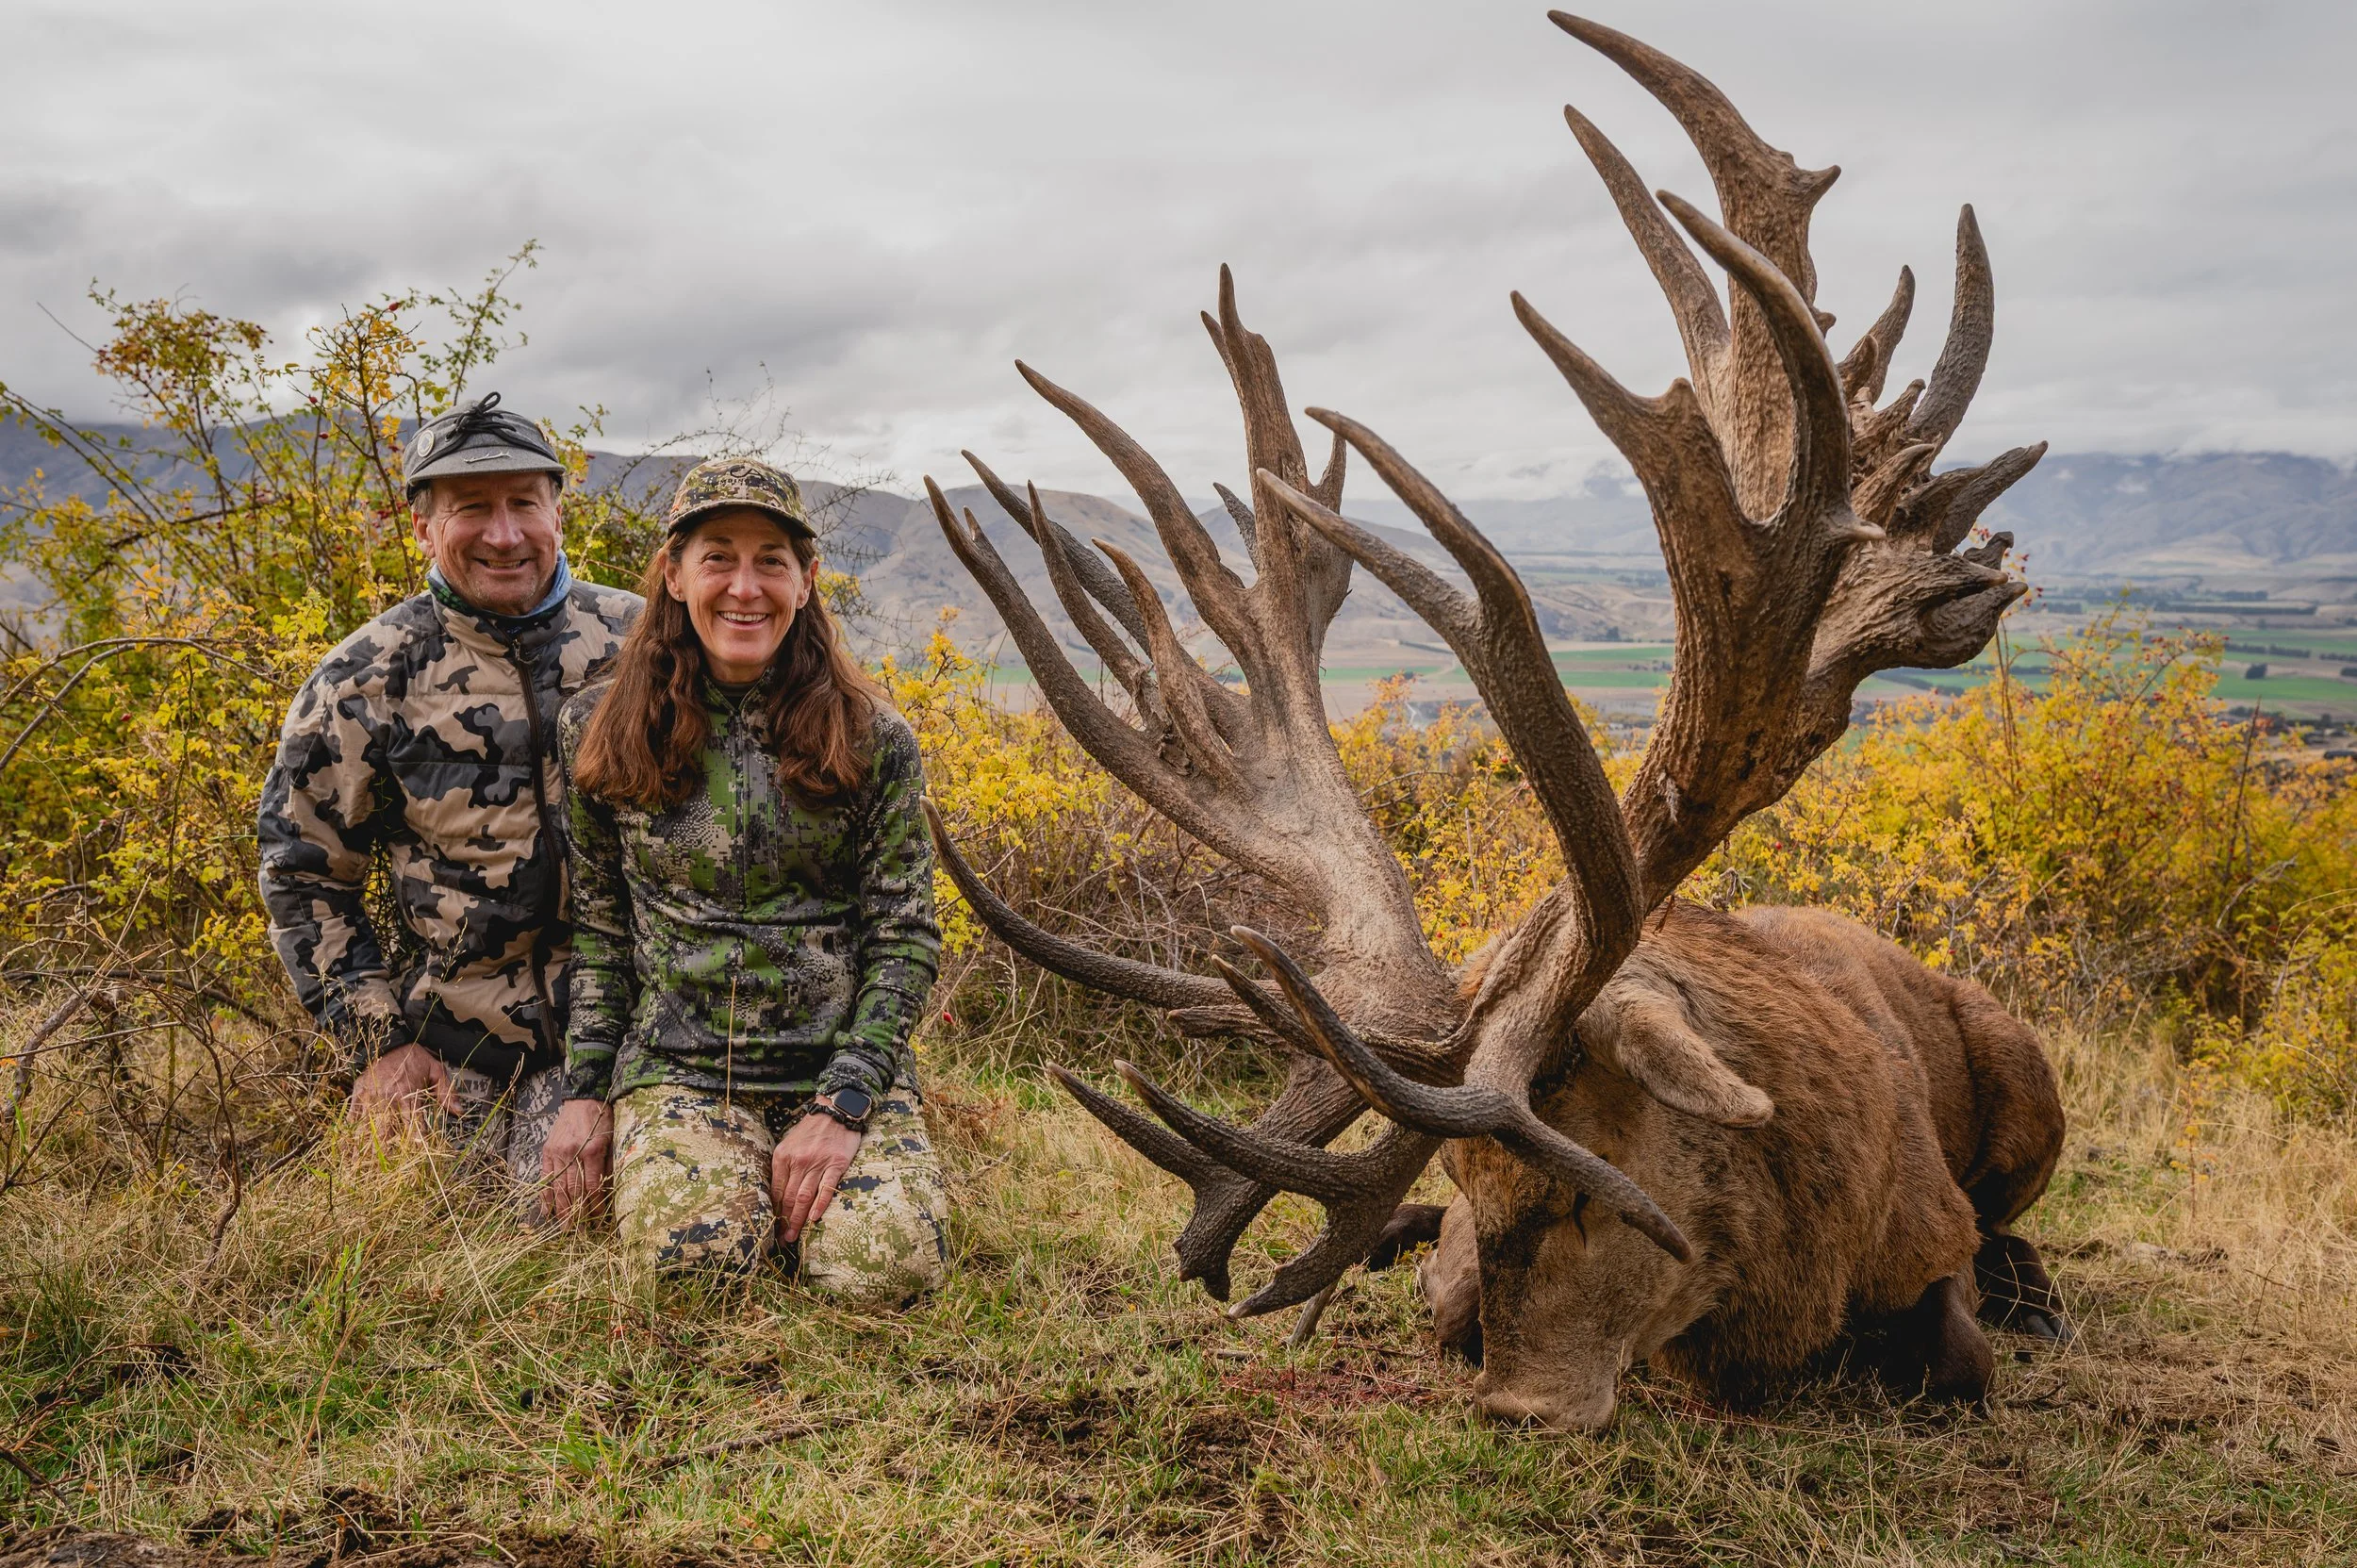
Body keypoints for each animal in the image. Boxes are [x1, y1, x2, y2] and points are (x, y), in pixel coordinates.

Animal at [919, 11, 2065, 1428]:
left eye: (1591, 1190)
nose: (1517, 1401)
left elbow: (1961, 1348)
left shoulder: (1932, 1234)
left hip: (2029, 1080)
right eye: (1472, 1186)